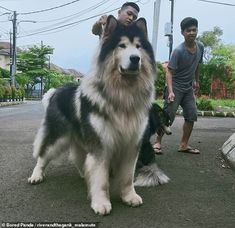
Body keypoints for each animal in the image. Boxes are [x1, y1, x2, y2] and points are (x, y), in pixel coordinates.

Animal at [27, 16, 157, 216]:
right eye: (122, 46)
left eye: (138, 46)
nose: (135, 58)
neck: (123, 94)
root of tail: (55, 91)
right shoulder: (101, 144)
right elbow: (101, 178)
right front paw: (101, 202)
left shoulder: (131, 144)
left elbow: (127, 176)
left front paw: (129, 197)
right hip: (58, 138)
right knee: (43, 155)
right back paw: (36, 175)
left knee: (80, 157)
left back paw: (83, 174)